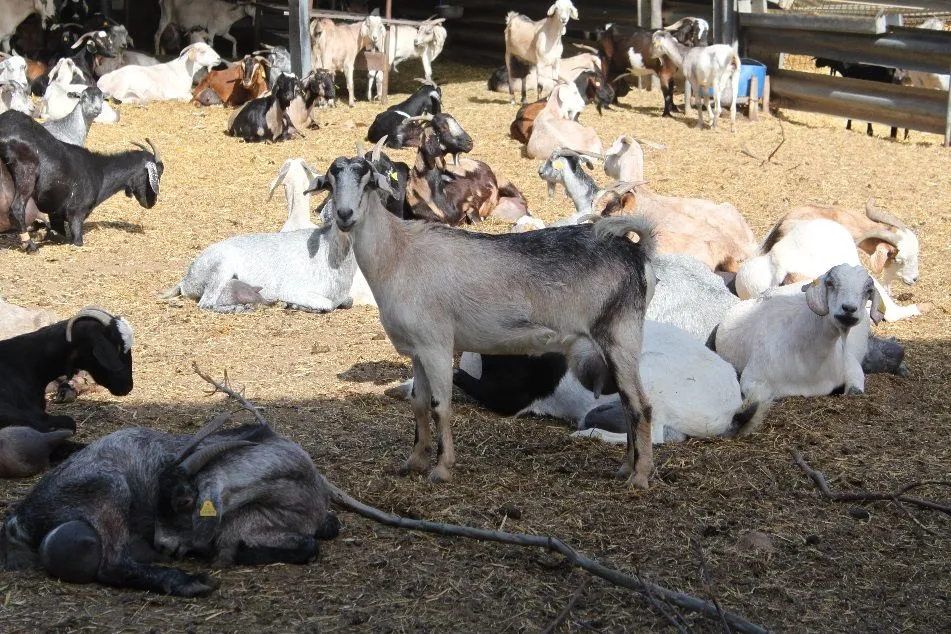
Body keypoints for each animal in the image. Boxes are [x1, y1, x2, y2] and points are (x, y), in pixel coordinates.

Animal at [0, 111, 162, 252]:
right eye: (159, 172)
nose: (152, 202)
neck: (100, 172)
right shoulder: (76, 213)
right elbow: (77, 241)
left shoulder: (55, 214)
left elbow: (57, 234)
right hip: (26, 173)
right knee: (17, 207)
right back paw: (30, 245)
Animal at [308, 154, 660, 488]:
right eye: (331, 181)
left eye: (367, 180)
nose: (344, 215)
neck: (398, 254)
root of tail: (637, 252)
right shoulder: (418, 350)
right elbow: (418, 403)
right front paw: (415, 462)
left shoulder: (437, 346)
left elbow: (440, 406)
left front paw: (442, 468)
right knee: (627, 402)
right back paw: (625, 467)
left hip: (620, 336)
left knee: (640, 405)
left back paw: (639, 476)